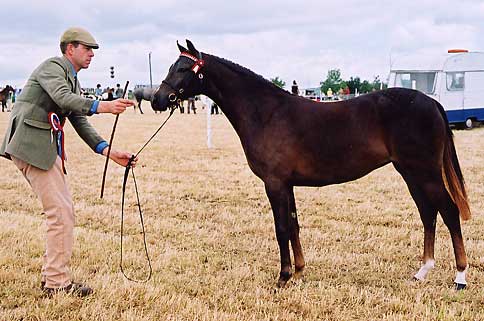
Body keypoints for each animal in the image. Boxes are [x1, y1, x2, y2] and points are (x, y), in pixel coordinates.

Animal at [150, 40, 468, 290]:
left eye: (182, 69)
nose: (157, 99)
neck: (266, 112)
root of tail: (431, 103)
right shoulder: (287, 184)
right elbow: (294, 225)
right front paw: (300, 271)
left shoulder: (275, 184)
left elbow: (281, 227)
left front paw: (283, 277)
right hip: (410, 173)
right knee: (428, 213)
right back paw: (422, 271)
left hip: (425, 173)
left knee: (449, 212)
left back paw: (460, 277)